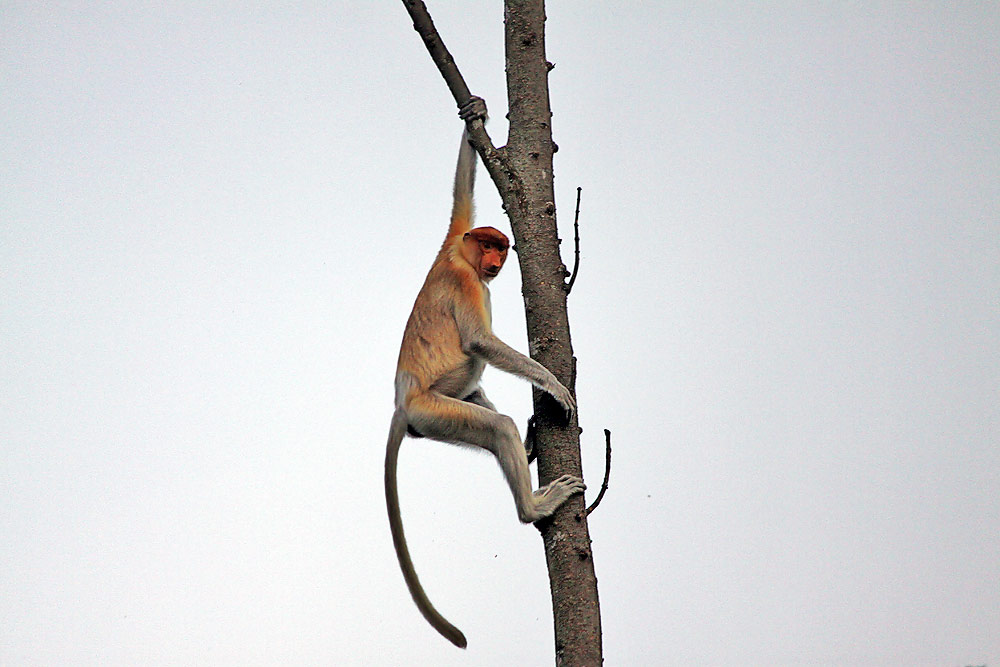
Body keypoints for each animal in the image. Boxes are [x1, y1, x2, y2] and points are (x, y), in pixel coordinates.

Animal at [384, 96, 585, 649]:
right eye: (490, 245)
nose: (497, 257)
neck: (463, 257)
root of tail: (402, 406)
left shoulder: (454, 237)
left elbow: (461, 198)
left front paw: (474, 116)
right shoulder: (466, 281)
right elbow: (479, 341)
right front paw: (554, 384)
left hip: (440, 411)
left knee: (480, 399)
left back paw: (531, 444)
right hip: (434, 410)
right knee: (496, 427)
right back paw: (535, 506)